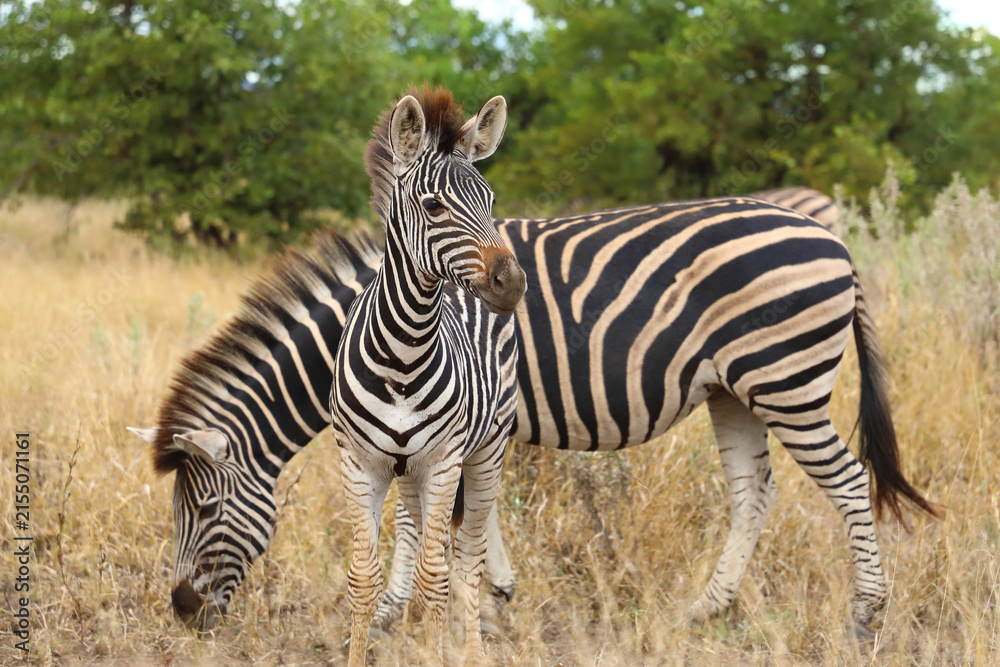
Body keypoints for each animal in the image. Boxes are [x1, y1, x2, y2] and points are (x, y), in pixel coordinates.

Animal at [129, 193, 931, 635]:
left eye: (202, 509)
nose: (181, 611)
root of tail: (832, 238)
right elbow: (451, 512)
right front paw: (485, 596)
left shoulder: (447, 416)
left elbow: (430, 517)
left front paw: (421, 609)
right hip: (735, 390)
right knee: (752, 492)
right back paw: (706, 609)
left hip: (786, 379)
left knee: (848, 481)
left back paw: (867, 613)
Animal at [329, 89, 523, 665]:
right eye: (434, 206)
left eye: (491, 199)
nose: (513, 284)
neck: (404, 354)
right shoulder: (359, 463)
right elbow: (363, 577)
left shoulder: (443, 462)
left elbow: (437, 575)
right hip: (410, 473)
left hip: (485, 454)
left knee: (467, 559)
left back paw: (474, 651)